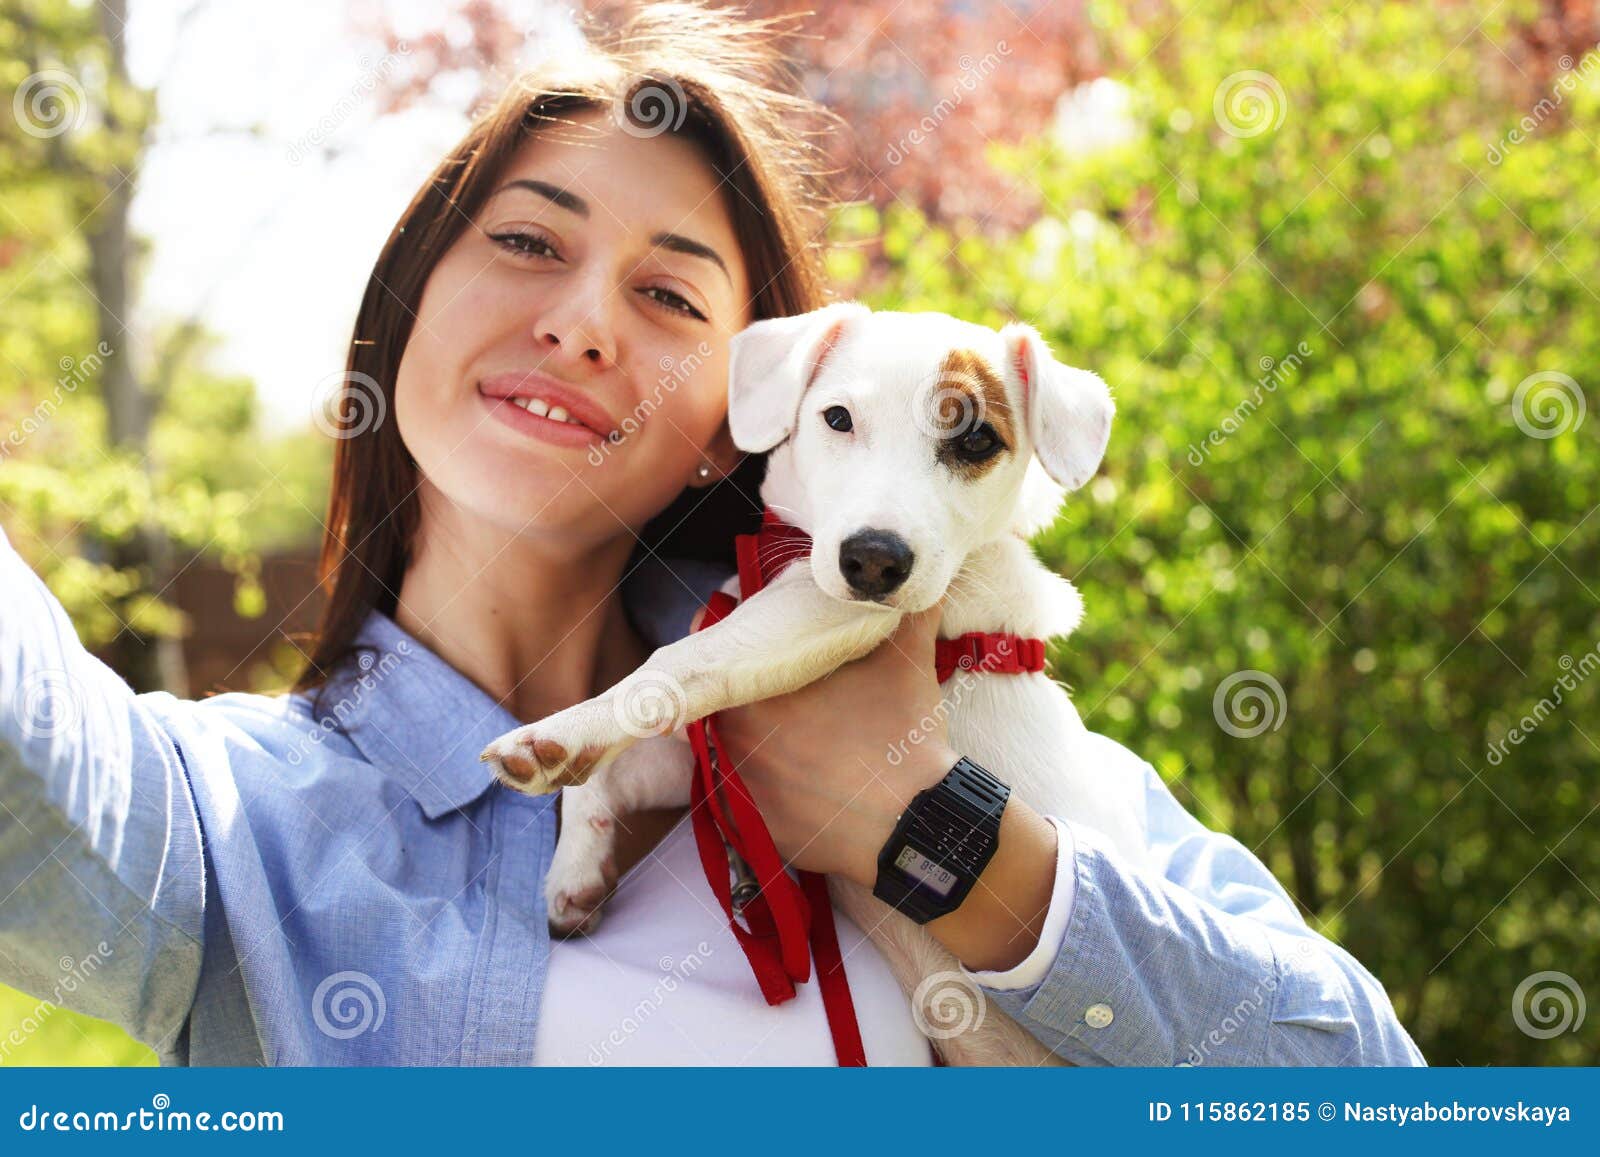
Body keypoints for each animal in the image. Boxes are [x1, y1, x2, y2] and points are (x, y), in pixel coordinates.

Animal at [480, 302, 1145, 1062]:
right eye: (838, 418)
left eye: (977, 439)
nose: (874, 560)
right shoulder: (710, 759)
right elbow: (614, 767)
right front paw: (575, 867)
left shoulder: (823, 614)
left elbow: (673, 663)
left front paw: (558, 736)